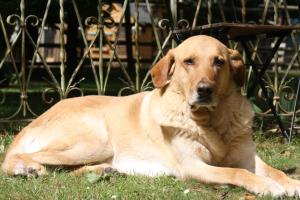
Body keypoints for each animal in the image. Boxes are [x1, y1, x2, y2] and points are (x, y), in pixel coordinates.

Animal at [2, 35, 300, 197]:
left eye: (219, 62)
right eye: (188, 61)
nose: (204, 90)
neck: (210, 121)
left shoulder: (248, 157)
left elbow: (273, 171)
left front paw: (291, 183)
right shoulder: (193, 166)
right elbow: (236, 172)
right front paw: (267, 187)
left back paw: (103, 170)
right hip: (96, 139)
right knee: (21, 158)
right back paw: (27, 169)